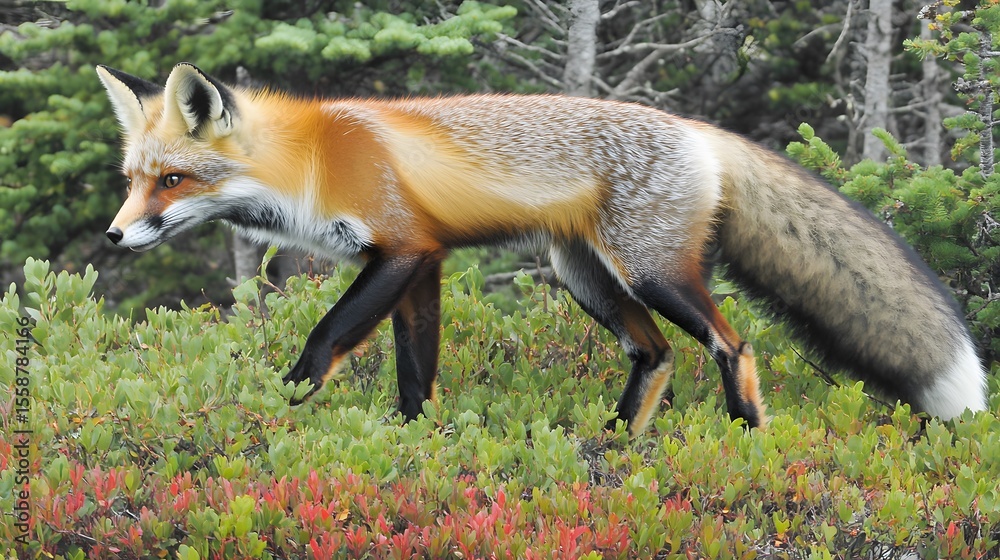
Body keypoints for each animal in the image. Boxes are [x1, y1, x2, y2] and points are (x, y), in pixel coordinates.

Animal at [97, 62, 988, 436]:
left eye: (172, 180)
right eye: (134, 180)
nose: (113, 233)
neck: (315, 160)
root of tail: (697, 129)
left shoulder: (401, 249)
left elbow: (323, 342)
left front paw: (276, 409)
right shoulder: (423, 261)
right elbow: (416, 371)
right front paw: (417, 440)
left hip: (652, 272)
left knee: (732, 344)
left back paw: (746, 435)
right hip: (585, 280)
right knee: (657, 355)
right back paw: (616, 440)